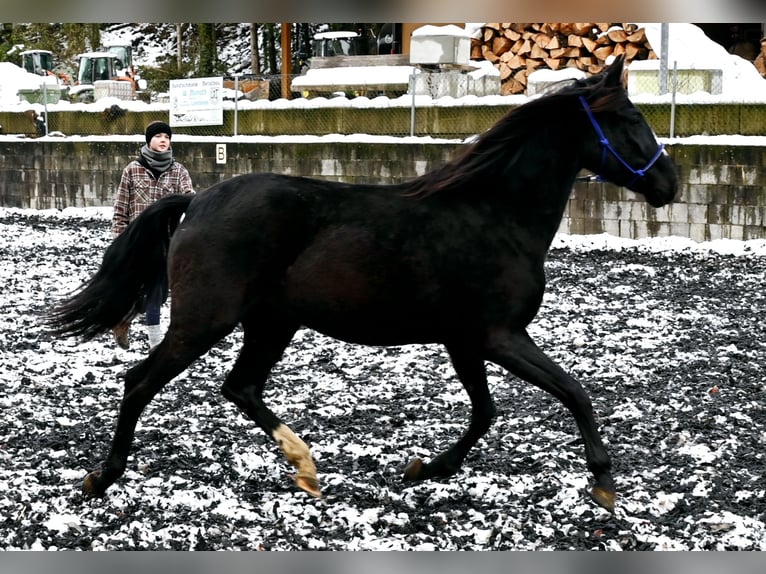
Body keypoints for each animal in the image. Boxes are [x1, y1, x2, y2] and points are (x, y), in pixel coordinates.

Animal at [49, 56, 680, 510]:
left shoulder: (465, 340)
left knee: (240, 387)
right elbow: (573, 392)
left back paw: (305, 467)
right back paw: (102, 477)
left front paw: (425, 468)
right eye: (631, 121)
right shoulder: (498, 335)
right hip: (207, 319)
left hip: (272, 323)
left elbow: (485, 411)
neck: (494, 213)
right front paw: (603, 483)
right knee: (141, 381)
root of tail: (197, 201)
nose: (669, 184)